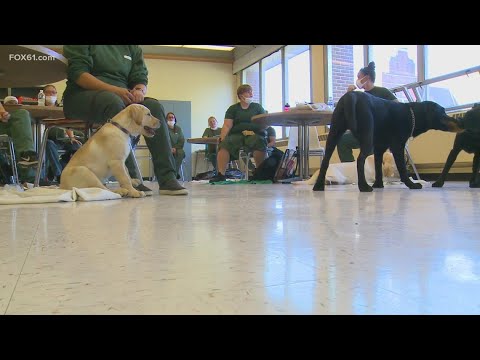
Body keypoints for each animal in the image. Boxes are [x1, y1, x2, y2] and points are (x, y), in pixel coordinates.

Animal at [312, 92, 462, 191]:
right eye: (443, 112)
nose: (459, 121)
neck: (412, 114)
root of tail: (351, 95)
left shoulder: (379, 148)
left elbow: (378, 168)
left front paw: (378, 185)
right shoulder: (397, 147)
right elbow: (402, 169)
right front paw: (412, 184)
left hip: (334, 134)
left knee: (325, 161)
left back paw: (319, 186)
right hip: (367, 137)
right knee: (360, 160)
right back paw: (364, 186)